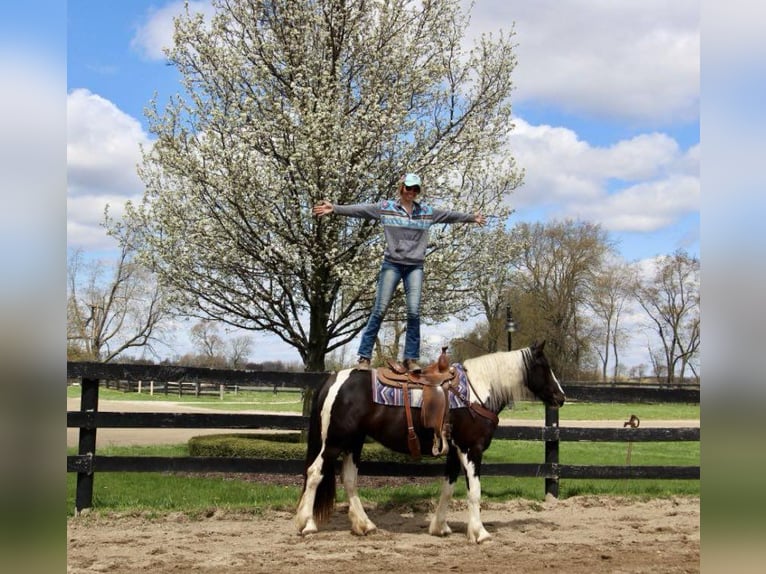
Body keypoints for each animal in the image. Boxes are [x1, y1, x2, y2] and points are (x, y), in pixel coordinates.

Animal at [296, 342, 568, 544]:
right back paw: (306, 524)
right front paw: (479, 533)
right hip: (334, 441)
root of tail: (334, 379)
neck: (476, 390)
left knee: (350, 479)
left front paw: (440, 527)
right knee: (315, 473)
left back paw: (364, 525)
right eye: (544, 366)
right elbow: (474, 492)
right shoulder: (472, 449)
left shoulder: (454, 452)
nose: (561, 397)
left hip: (354, 442)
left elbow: (448, 488)